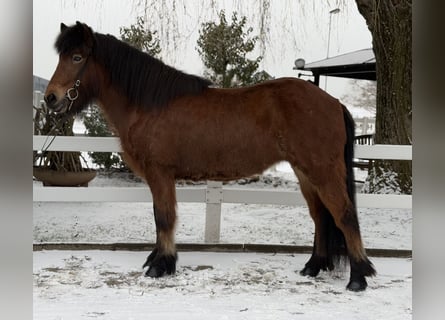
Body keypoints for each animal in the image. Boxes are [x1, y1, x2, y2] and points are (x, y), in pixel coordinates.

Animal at [44, 21, 374, 290]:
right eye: (61, 56)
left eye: (77, 57)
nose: (51, 98)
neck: (150, 104)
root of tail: (333, 102)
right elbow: (160, 215)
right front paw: (157, 259)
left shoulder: (160, 172)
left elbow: (164, 216)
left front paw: (161, 265)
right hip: (305, 172)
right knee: (321, 216)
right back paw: (313, 267)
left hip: (322, 171)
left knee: (344, 215)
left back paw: (358, 277)